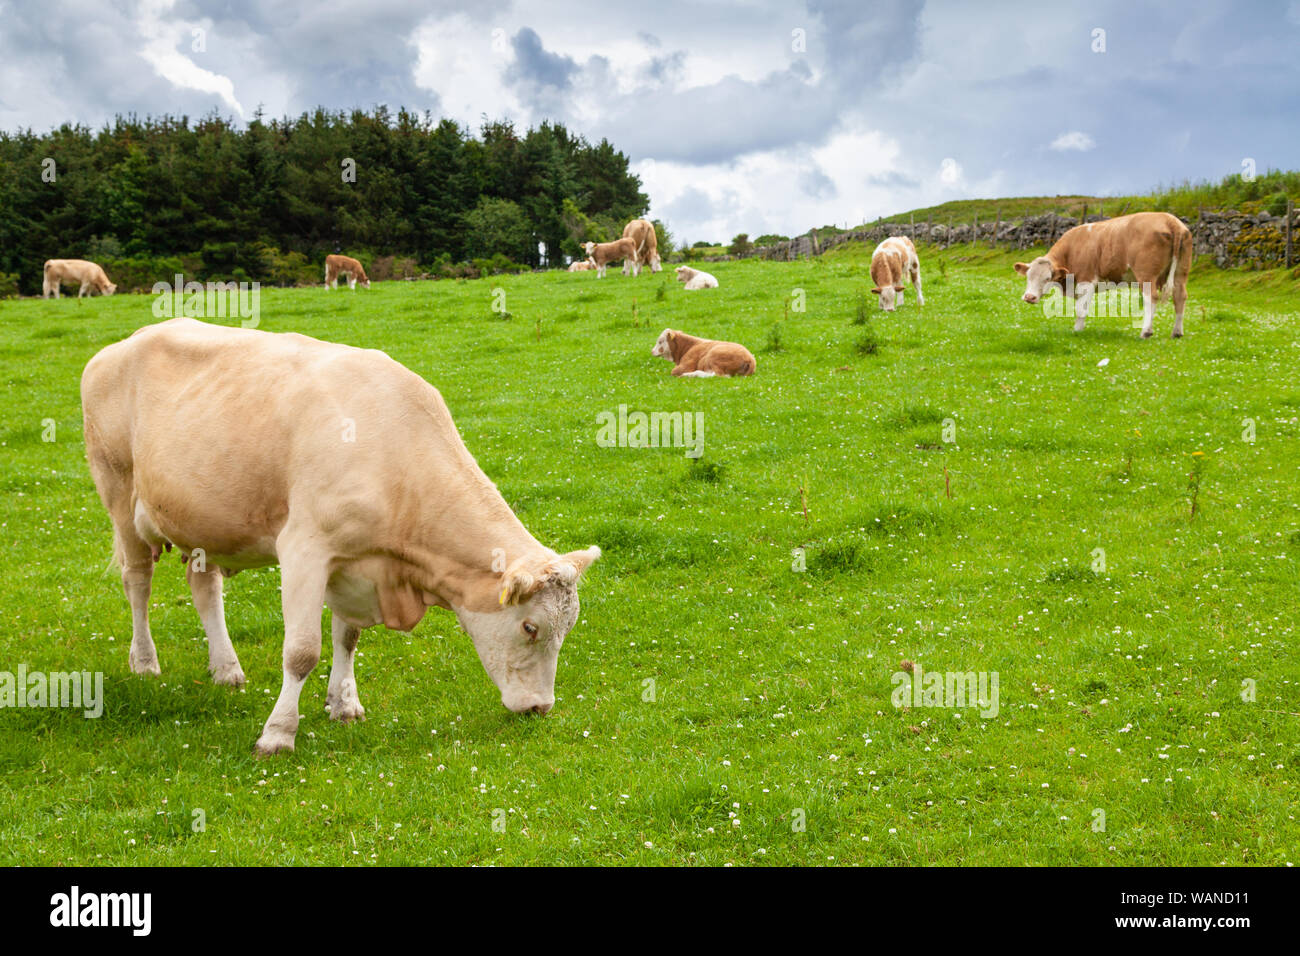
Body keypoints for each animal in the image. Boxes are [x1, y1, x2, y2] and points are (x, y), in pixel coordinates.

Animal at [81, 318, 601, 755]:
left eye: (569, 627)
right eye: (530, 627)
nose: (539, 707)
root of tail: (124, 342)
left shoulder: (355, 563)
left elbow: (347, 636)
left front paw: (343, 704)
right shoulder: (304, 549)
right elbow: (301, 652)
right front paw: (278, 734)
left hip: (202, 521)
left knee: (204, 587)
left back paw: (226, 669)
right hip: (118, 493)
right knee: (137, 581)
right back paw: (145, 662)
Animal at [1014, 211, 1192, 338]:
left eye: (1047, 279)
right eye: (1028, 277)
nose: (1029, 297)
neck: (1072, 249)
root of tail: (1169, 219)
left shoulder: (1086, 280)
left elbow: (1080, 309)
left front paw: (1077, 331)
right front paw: (1079, 327)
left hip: (1146, 274)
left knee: (1151, 297)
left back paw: (1146, 331)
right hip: (1181, 272)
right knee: (1180, 296)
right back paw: (1177, 332)